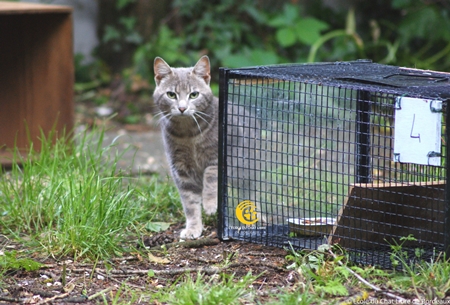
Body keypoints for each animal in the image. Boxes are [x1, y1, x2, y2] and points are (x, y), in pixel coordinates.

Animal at [153, 56, 218, 238]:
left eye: (194, 94)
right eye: (171, 94)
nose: (182, 108)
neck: (189, 134)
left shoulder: (215, 159)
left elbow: (210, 178)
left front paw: (210, 205)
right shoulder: (181, 169)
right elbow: (190, 203)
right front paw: (193, 229)